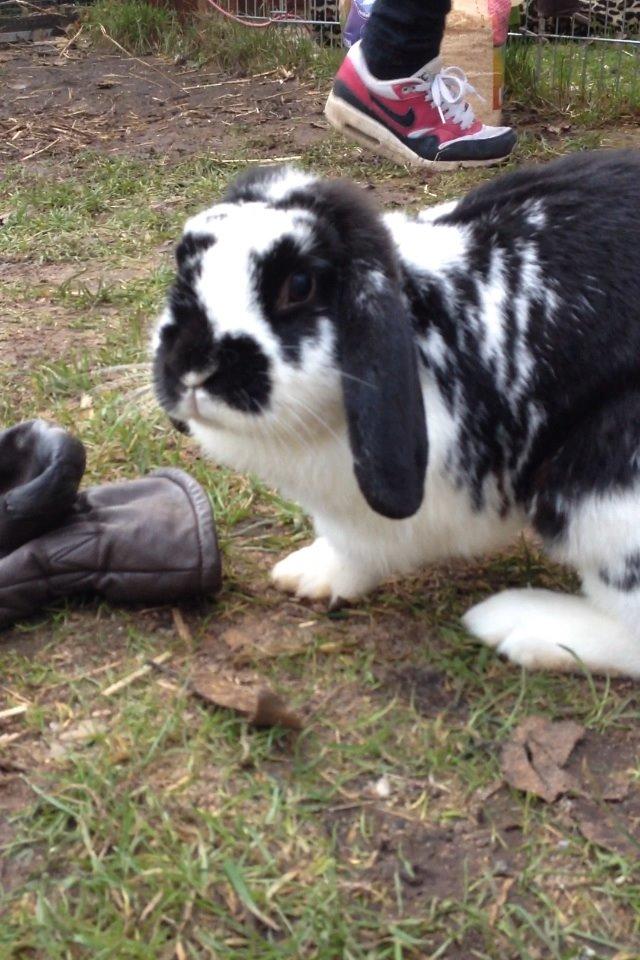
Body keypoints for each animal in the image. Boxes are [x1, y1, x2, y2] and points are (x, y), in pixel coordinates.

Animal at [152, 148, 640, 676]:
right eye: (184, 263)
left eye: (299, 285)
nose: (194, 367)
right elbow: (350, 549)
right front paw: (310, 576)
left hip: (603, 494)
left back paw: (522, 626)